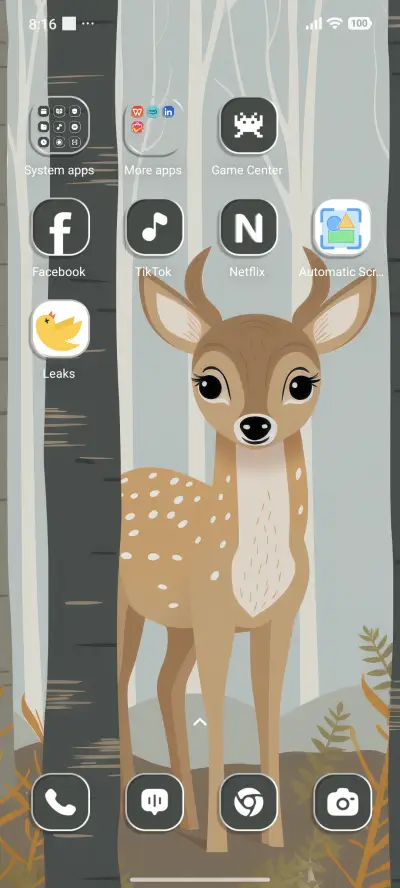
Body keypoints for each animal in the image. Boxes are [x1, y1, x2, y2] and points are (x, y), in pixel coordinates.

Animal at [117, 247, 376, 853]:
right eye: (208, 382)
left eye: (301, 383)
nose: (254, 425)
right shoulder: (214, 613)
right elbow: (214, 704)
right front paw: (219, 843)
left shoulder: (277, 617)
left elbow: (267, 705)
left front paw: (272, 838)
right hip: (126, 606)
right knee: (119, 683)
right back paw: (131, 810)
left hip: (179, 623)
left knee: (165, 685)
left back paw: (182, 817)